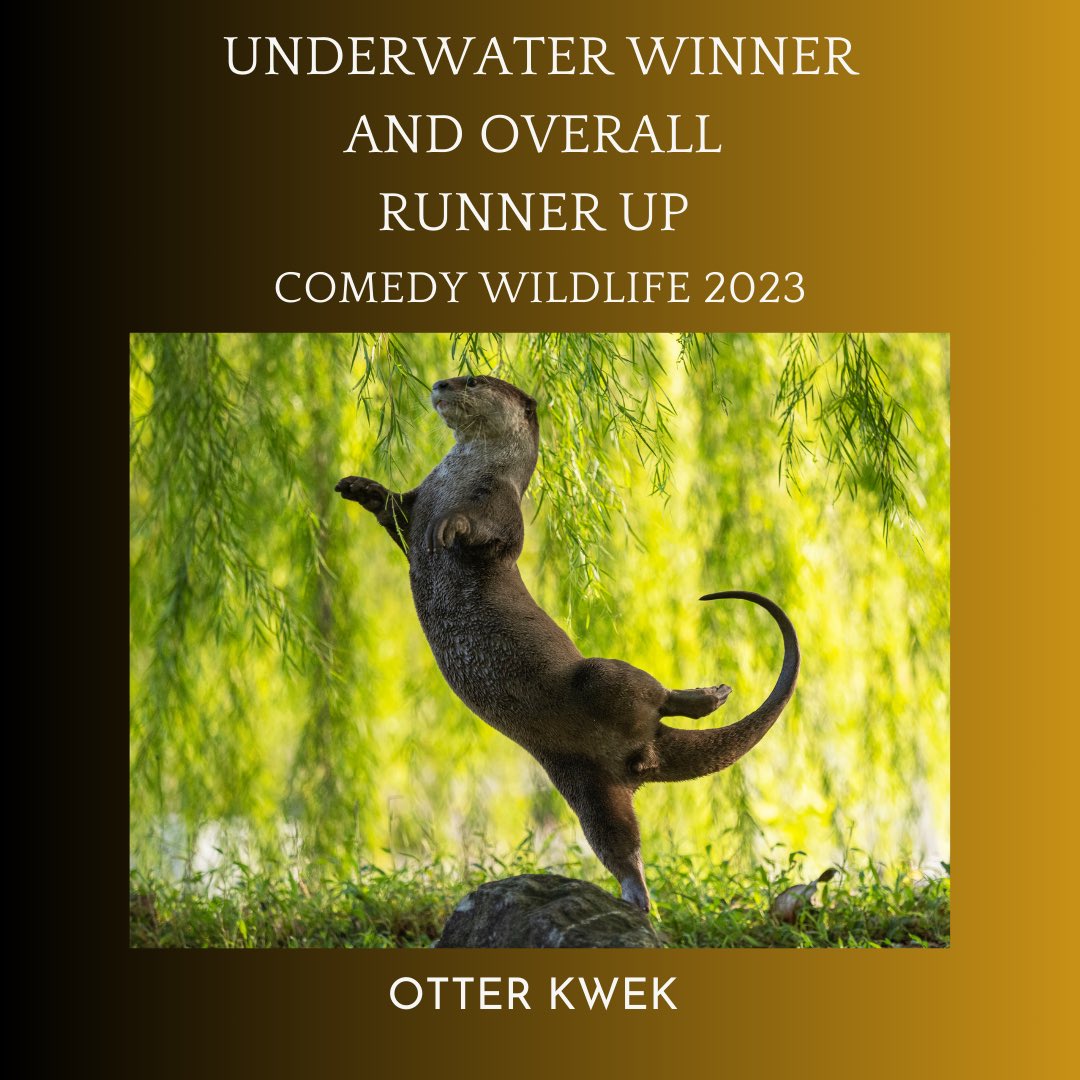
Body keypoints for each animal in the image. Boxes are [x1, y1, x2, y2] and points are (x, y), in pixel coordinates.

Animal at [336, 374, 799, 910]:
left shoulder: (501, 506)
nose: (440, 383)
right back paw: (635, 899)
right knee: (619, 842)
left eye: (472, 379)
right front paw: (360, 487)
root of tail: (646, 750)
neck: (458, 477)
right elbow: (393, 512)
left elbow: (485, 533)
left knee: (653, 693)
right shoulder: (419, 499)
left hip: (600, 677)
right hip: (584, 783)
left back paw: (709, 696)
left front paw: (450, 525)